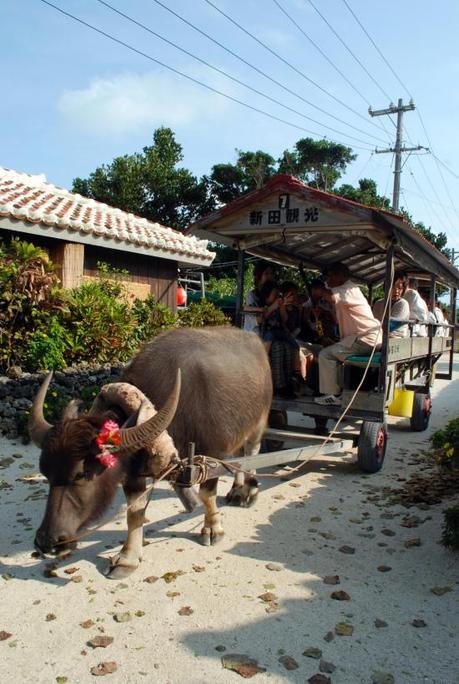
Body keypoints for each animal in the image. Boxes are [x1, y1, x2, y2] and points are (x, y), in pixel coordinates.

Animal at [30, 326, 274, 576]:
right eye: (45, 473)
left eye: (81, 474)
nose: (47, 542)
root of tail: (257, 342)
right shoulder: (133, 470)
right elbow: (134, 512)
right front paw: (128, 558)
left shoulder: (212, 454)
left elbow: (208, 495)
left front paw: (213, 528)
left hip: (259, 422)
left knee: (251, 452)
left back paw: (247, 491)